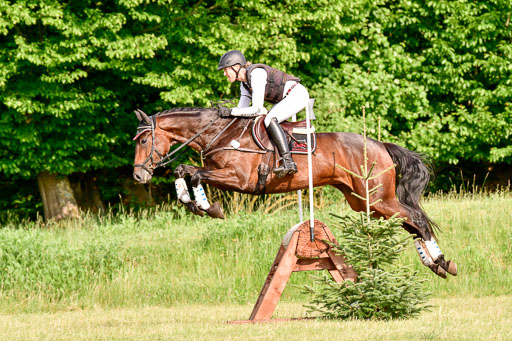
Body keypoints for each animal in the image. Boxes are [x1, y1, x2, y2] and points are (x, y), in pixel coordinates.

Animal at [132, 105, 456, 278]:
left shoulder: (238, 179)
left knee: (417, 220)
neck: (220, 134)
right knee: (409, 224)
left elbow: (194, 173)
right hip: (364, 201)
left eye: (144, 141)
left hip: (378, 198)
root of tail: (380, 145)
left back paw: (442, 263)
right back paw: (434, 264)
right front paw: (192, 202)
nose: (138, 175)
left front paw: (206, 207)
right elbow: (183, 171)